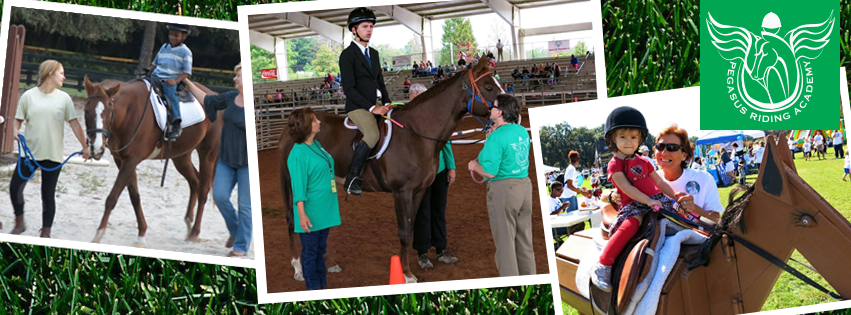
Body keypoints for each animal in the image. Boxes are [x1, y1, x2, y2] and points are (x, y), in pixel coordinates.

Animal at [82, 76, 223, 247]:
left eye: (109, 112)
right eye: (86, 111)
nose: (96, 149)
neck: (129, 112)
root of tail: (213, 95)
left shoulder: (131, 161)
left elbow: (112, 198)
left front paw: (98, 235)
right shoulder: (122, 161)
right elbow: (134, 196)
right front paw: (141, 234)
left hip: (207, 155)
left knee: (203, 190)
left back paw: (194, 233)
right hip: (181, 157)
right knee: (195, 182)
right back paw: (189, 224)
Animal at [276, 59, 502, 284]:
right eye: (489, 87)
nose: (509, 109)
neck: (416, 133)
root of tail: (291, 125)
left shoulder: (418, 191)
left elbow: (410, 228)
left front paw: (409, 267)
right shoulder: (401, 192)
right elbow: (403, 232)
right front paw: (406, 274)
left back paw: (329, 264)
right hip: (294, 183)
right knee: (293, 218)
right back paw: (298, 268)